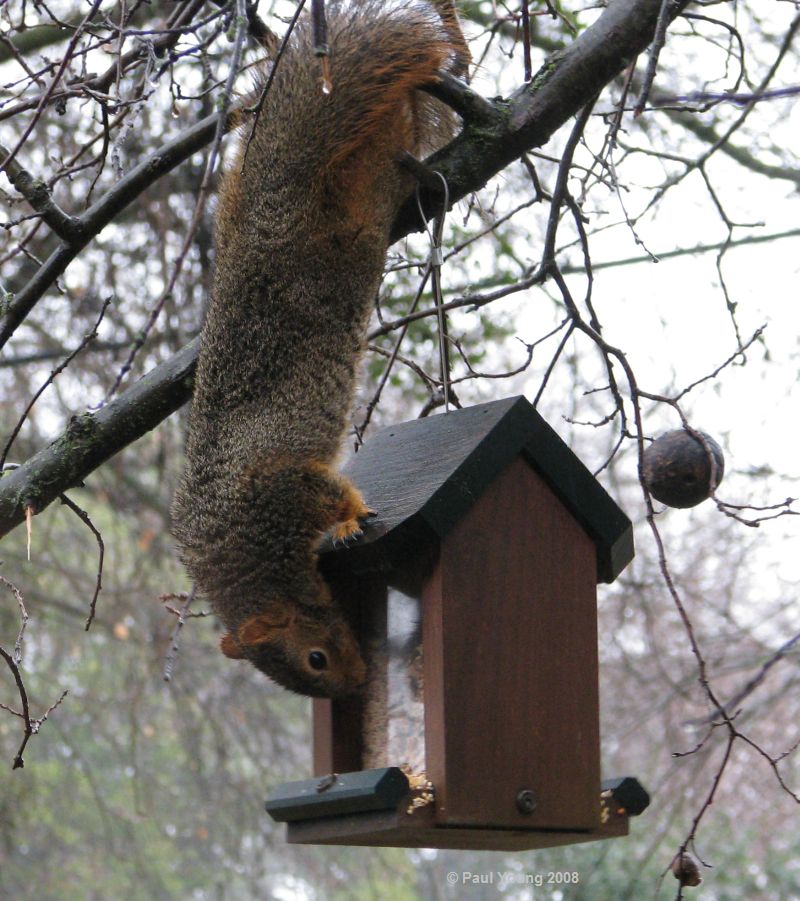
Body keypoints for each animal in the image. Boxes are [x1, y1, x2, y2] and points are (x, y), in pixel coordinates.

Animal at [171, 1, 468, 699]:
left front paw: (354, 518)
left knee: (382, 176)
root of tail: (274, 196)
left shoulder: (283, 491)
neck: (248, 553)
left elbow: (331, 492)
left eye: (313, 658)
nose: (356, 687)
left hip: (351, 222)